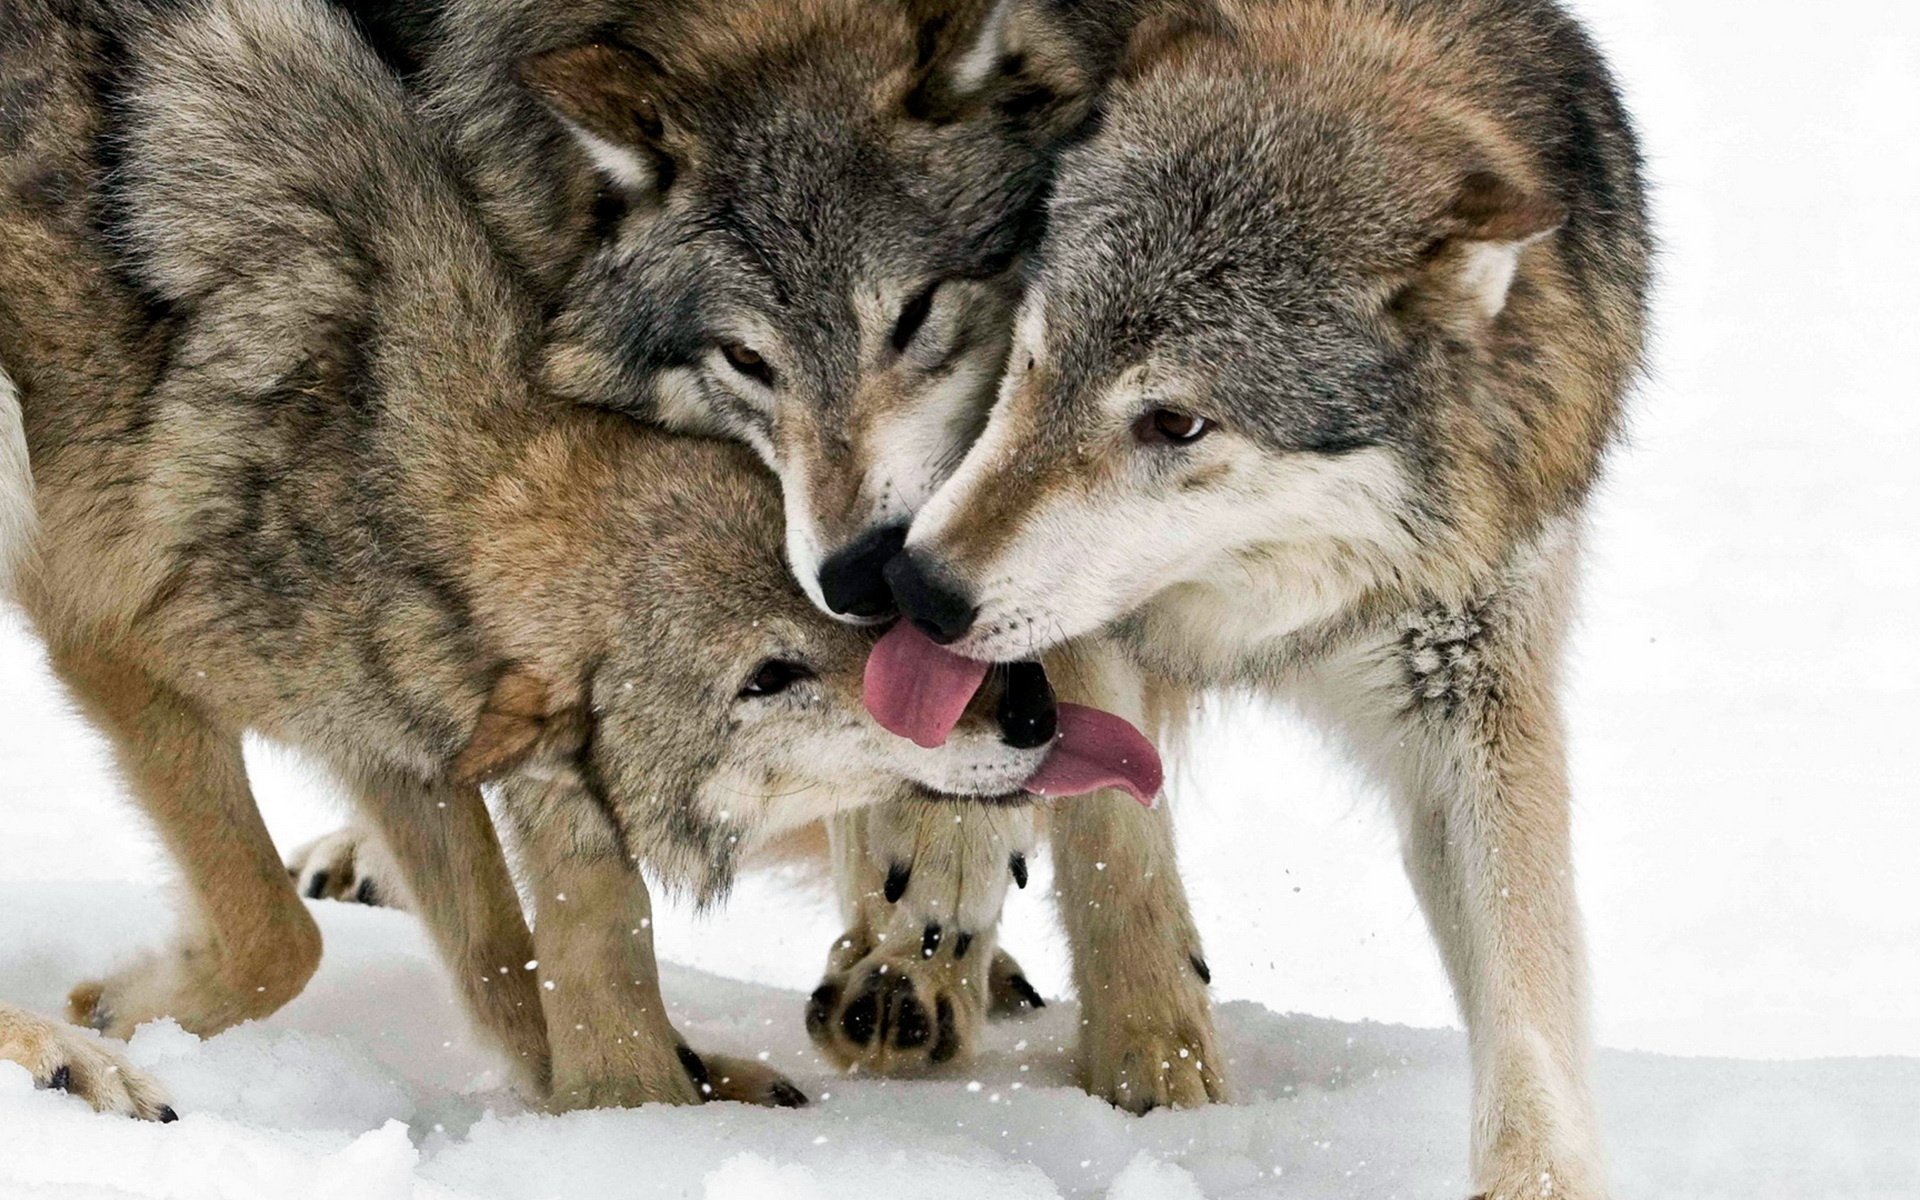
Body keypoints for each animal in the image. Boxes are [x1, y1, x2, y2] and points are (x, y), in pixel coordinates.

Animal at [0, 0, 1096, 1117]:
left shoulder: (403, 738)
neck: (388, 451)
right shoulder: (116, 656)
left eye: (871, 618)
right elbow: (281, 934)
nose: (1030, 708)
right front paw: (120, 1009)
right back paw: (61, 1057)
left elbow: (502, 959)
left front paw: (649, 1091)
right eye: (768, 678)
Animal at [300, 0, 1226, 1105]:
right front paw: (626, 1101)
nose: (861, 575)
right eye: (746, 359)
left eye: (916, 313)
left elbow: (1085, 797)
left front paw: (1153, 1060)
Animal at [879, 0, 1652, 1193]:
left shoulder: (1474, 687)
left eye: (1177, 423)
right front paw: (1154, 1071)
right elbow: (1115, 843)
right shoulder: (1080, 629)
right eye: (1036, 356)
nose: (919, 587)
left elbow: (1529, 996)